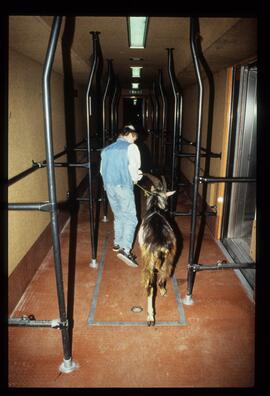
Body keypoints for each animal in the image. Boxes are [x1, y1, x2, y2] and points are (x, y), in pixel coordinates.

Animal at [137, 173, 177, 324]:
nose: (166, 208)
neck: (155, 208)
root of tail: (161, 246)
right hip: (169, 258)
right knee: (161, 278)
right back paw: (164, 292)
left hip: (149, 261)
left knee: (150, 287)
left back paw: (150, 317)